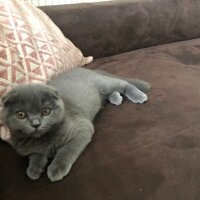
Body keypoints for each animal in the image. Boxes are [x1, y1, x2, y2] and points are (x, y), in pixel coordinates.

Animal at [0, 68, 150, 182]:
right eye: (21, 114)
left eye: (46, 111)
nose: (36, 124)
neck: (44, 139)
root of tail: (88, 69)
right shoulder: (29, 149)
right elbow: (35, 155)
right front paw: (34, 169)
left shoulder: (82, 128)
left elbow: (67, 150)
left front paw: (56, 168)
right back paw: (116, 98)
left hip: (103, 83)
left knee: (122, 83)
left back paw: (138, 95)